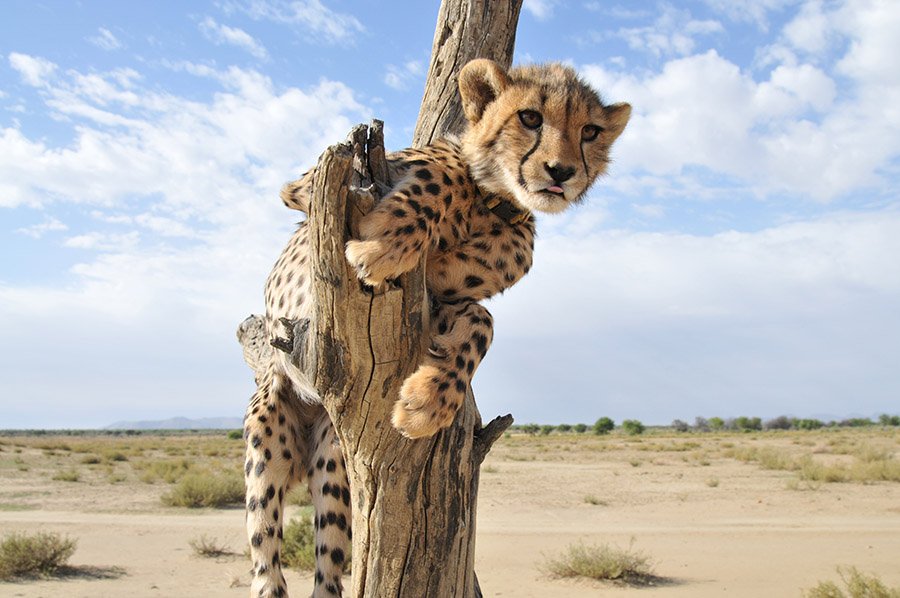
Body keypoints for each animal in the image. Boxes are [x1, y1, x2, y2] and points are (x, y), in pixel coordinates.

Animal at [241, 58, 630, 598]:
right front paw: (387, 241)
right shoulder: (305, 185)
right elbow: (441, 174)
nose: (562, 171)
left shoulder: (439, 303)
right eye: (530, 117)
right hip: (267, 440)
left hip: (333, 458)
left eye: (590, 131)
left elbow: (483, 321)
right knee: (266, 557)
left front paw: (428, 402)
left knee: (329, 564)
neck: (491, 205)